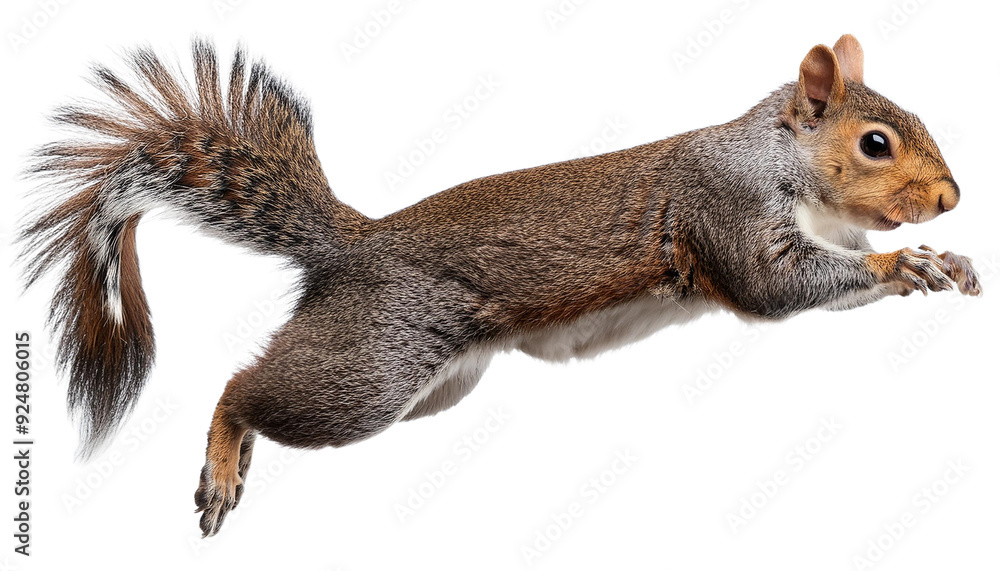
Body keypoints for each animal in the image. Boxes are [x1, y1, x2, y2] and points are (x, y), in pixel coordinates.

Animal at [18, 35, 981, 536]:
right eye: (876, 143)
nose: (949, 198)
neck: (783, 162)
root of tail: (349, 246)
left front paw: (946, 258)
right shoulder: (728, 209)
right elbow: (775, 284)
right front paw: (906, 264)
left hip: (433, 383)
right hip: (373, 365)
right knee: (243, 387)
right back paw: (223, 460)